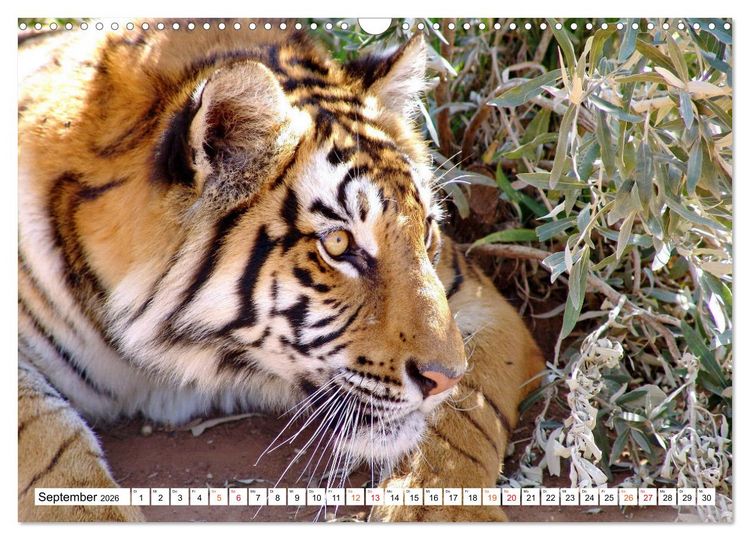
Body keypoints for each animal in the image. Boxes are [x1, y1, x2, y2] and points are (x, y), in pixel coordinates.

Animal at [18, 19, 545, 522]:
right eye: (338, 243)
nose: (443, 380)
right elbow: (45, 444)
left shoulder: (478, 297)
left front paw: (443, 513)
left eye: (427, 231)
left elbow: (469, 412)